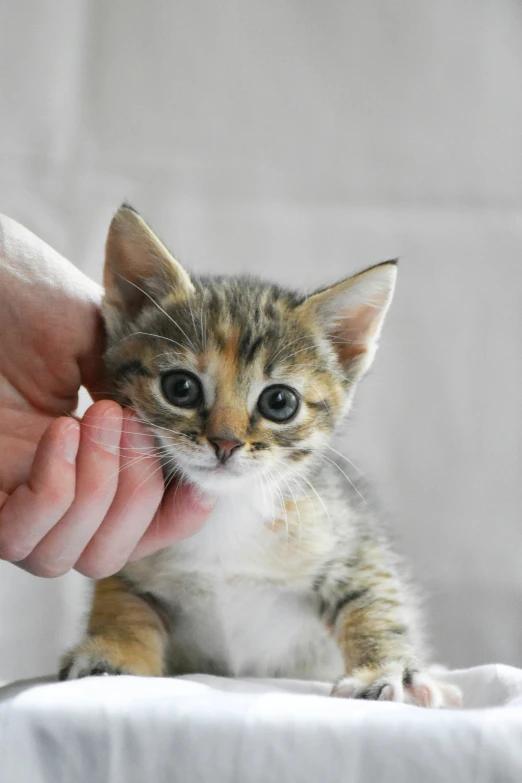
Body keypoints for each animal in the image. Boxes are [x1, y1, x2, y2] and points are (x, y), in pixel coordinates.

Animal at [60, 205, 460, 708]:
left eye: (279, 402)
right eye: (180, 388)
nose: (225, 443)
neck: (227, 511)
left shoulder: (350, 538)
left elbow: (376, 602)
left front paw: (387, 670)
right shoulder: (129, 558)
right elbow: (121, 602)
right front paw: (112, 656)